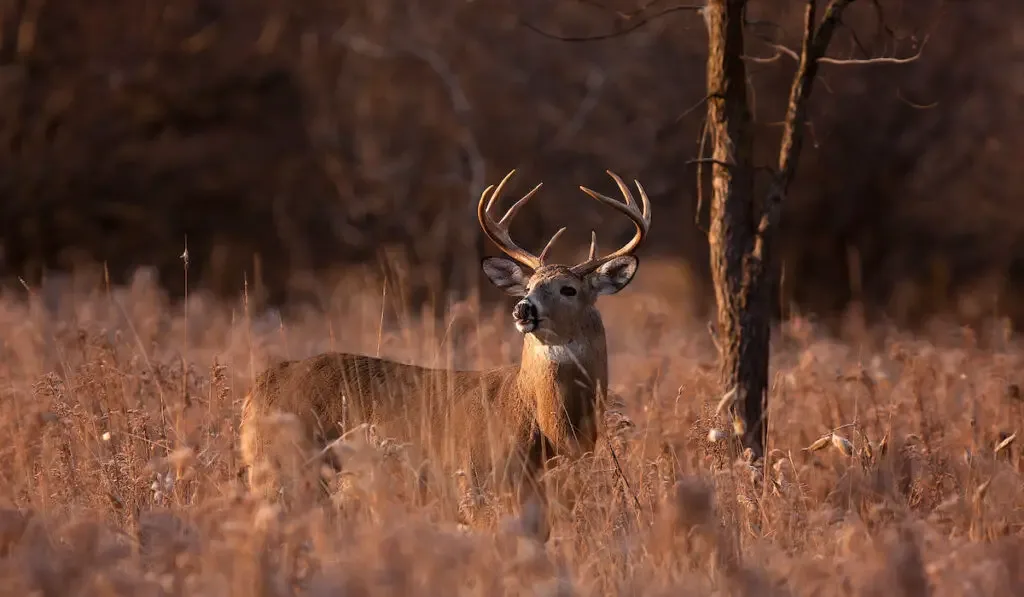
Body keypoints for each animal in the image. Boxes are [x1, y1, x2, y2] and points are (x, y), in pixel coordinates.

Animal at [239, 168, 647, 532]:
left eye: (569, 289)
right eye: (529, 285)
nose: (523, 309)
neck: (544, 426)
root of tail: (258, 388)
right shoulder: (478, 485)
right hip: (283, 470)